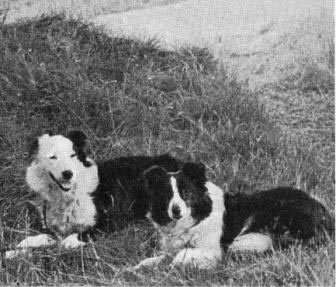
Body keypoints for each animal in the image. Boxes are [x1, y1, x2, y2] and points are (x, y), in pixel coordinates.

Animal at [6, 130, 182, 258]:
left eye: (73, 155)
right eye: (53, 157)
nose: (68, 173)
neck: (70, 196)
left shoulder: (110, 222)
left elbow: (73, 237)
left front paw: (64, 245)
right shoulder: (54, 229)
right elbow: (38, 237)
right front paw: (15, 250)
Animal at [134, 164, 334, 270]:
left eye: (186, 193)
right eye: (167, 195)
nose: (176, 211)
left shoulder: (212, 249)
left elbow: (181, 255)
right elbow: (157, 258)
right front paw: (139, 266)